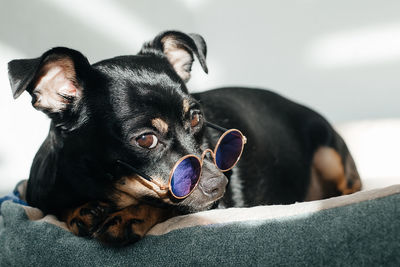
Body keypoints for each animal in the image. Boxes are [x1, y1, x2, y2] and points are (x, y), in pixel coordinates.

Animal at [7, 30, 360, 247]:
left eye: (196, 117)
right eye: (145, 140)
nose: (220, 183)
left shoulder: (209, 206)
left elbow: (172, 207)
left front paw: (130, 216)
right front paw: (80, 211)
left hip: (329, 155)